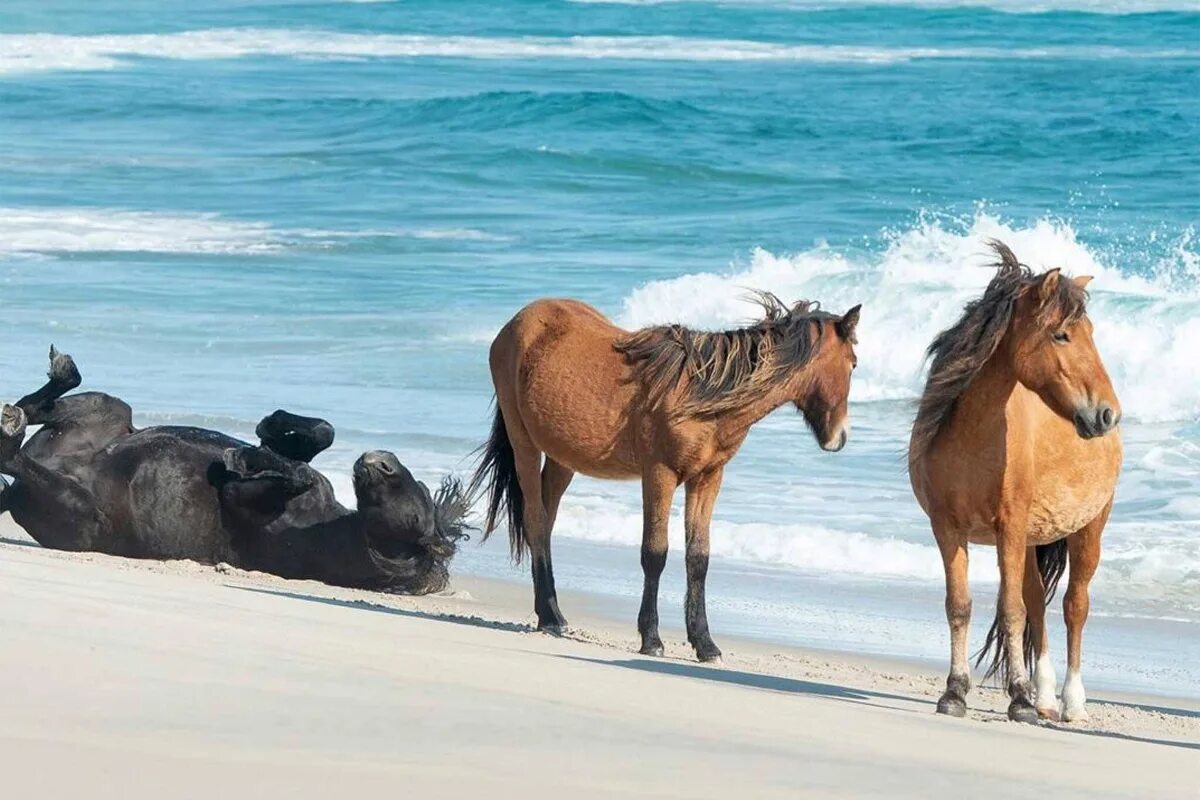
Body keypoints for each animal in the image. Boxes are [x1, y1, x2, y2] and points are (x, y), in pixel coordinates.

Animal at [0, 347, 468, 594]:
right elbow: (319, 435)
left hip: (76, 508)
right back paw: (55, 376)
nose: (379, 459)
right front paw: (271, 429)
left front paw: (240, 459)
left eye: (417, 512)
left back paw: (12, 428)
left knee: (14, 456)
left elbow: (284, 473)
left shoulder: (242, 501)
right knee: (39, 403)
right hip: (110, 409)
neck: (329, 526)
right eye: (420, 489)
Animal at [470, 293, 864, 662]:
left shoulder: (707, 478)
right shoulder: (659, 475)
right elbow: (655, 553)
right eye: (854, 364)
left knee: (547, 520)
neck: (703, 395)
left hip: (562, 457)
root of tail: (517, 322)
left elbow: (698, 557)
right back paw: (551, 617)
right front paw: (652, 639)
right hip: (524, 443)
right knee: (536, 519)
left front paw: (705, 644)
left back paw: (549, 612)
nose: (840, 437)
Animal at [907, 241, 1123, 724]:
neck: (972, 437)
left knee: (1074, 605)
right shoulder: (947, 528)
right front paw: (955, 693)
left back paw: (1071, 703)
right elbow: (961, 607)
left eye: (1092, 332)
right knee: (1039, 604)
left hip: (1088, 529)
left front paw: (1018, 700)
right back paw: (1044, 699)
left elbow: (1011, 610)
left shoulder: (1008, 526)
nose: (1106, 414)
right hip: (1030, 539)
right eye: (1061, 335)